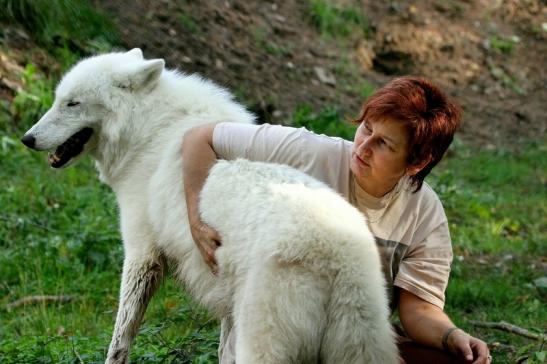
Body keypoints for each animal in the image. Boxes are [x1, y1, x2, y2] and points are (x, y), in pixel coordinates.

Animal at [21, 49, 398, 364]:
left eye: (72, 104)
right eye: (57, 100)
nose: (27, 139)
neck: (149, 130)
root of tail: (337, 256)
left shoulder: (142, 255)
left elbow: (120, 338)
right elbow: (220, 349)